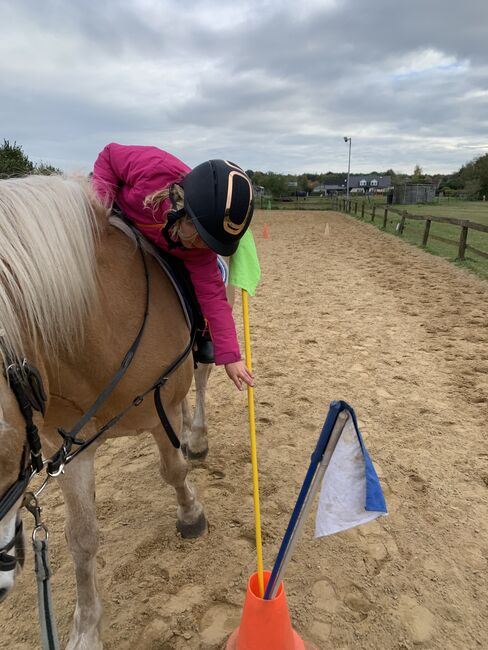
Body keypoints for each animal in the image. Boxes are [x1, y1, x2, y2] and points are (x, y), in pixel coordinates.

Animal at [0, 175, 207, 644]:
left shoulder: (160, 408)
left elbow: (174, 471)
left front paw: (191, 515)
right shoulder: (70, 447)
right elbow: (81, 537)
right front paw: (87, 629)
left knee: (202, 381)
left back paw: (198, 437)